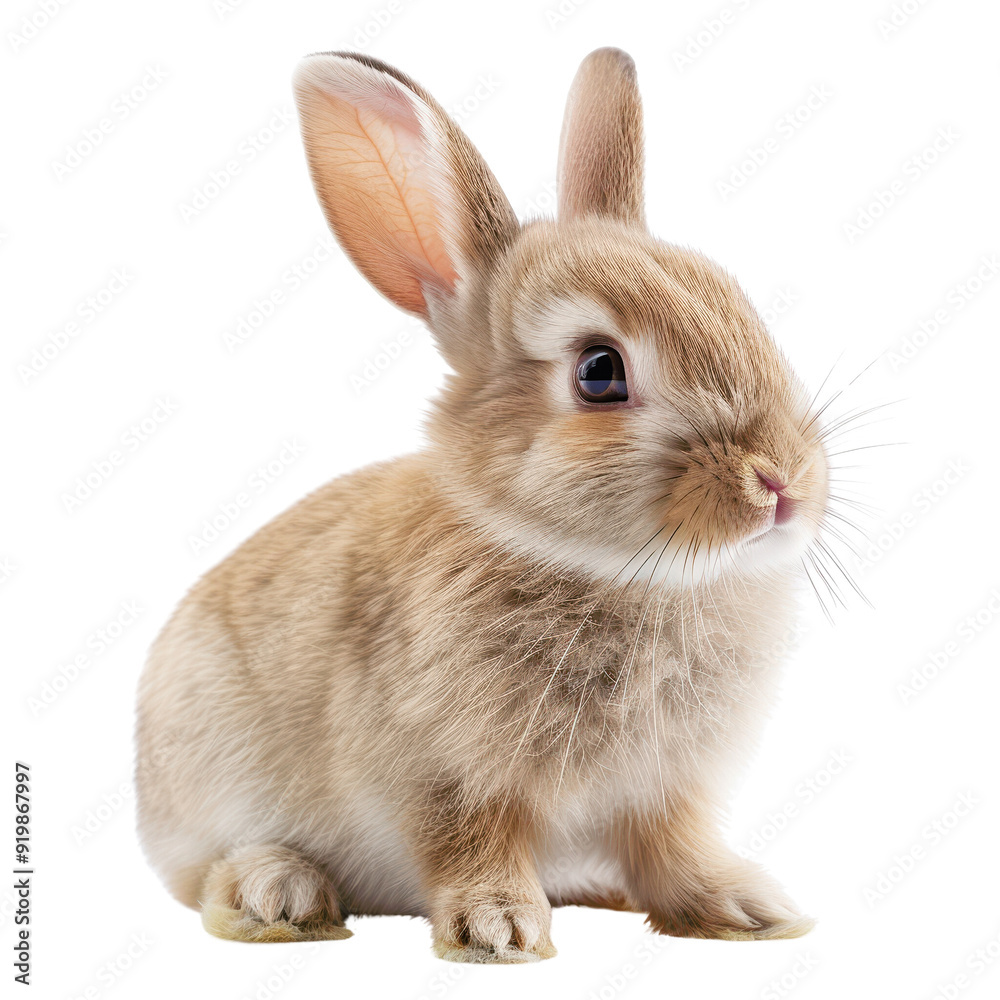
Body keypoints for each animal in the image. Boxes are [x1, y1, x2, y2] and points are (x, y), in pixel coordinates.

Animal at [135, 47, 830, 963]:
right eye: (599, 372)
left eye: (739, 305)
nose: (783, 482)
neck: (621, 573)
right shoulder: (442, 776)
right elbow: (469, 842)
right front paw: (498, 931)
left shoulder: (664, 792)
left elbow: (673, 852)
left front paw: (746, 909)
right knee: (207, 875)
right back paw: (277, 894)